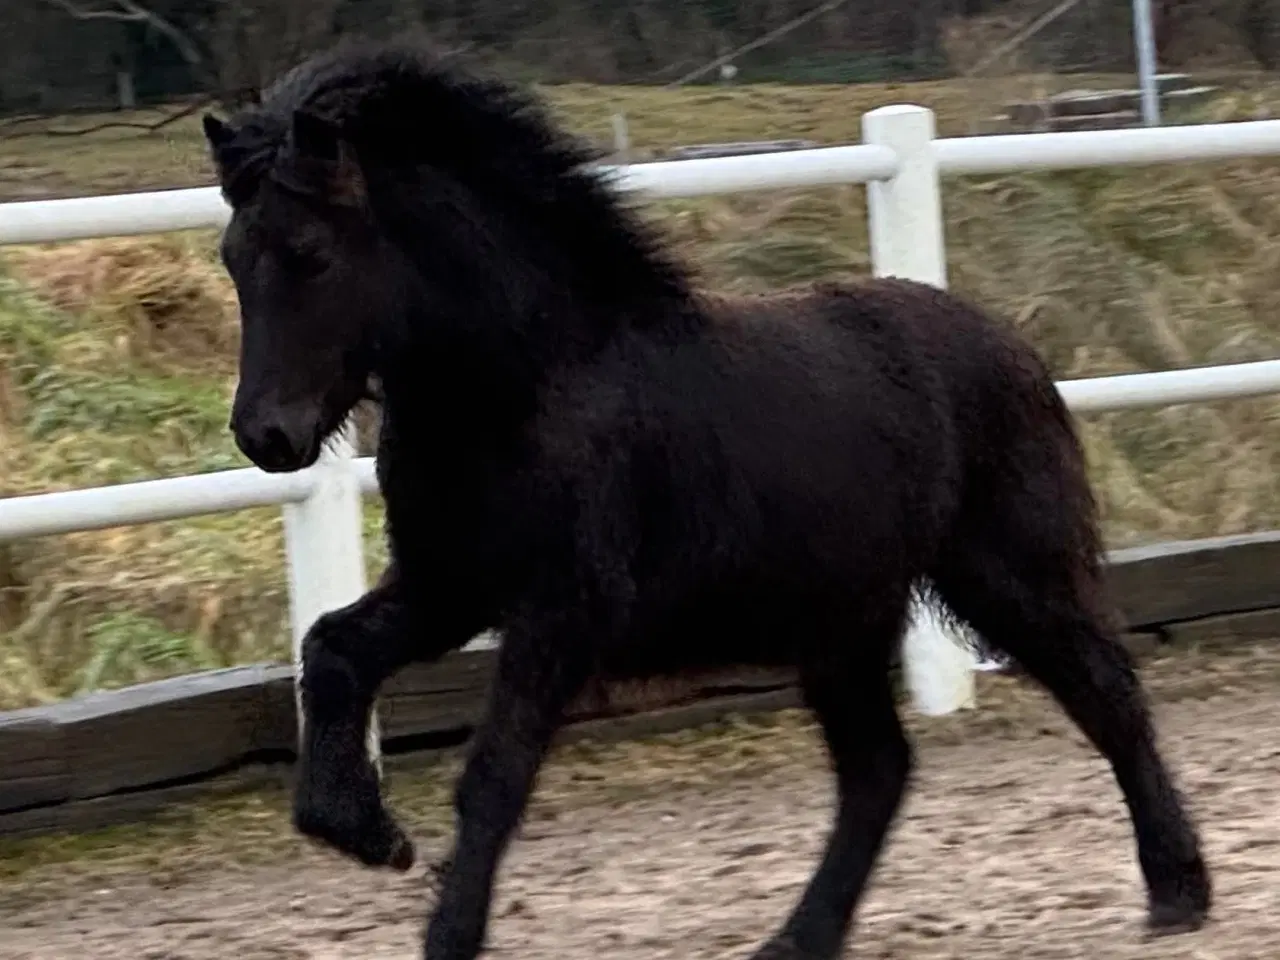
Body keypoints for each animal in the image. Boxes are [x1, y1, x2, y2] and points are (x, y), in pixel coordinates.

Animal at [199, 37, 1208, 960]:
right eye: (233, 257)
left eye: (310, 253)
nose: (266, 436)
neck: (530, 381)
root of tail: (1013, 343)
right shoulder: (450, 585)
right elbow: (332, 651)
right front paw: (363, 833)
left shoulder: (563, 611)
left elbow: (494, 774)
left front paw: (444, 930)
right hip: (843, 625)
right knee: (879, 769)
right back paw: (799, 939)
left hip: (1010, 575)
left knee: (1108, 698)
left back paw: (1178, 892)